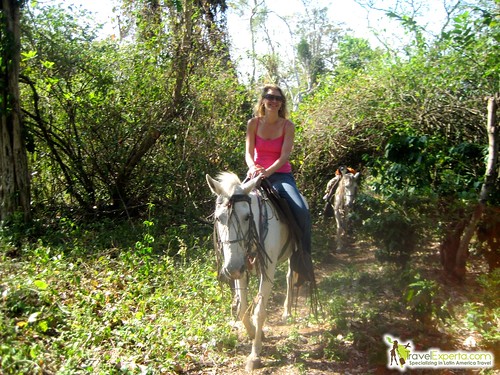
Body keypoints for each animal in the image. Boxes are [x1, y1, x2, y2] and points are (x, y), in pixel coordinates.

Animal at [205, 173, 294, 374]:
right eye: (218, 218)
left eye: (247, 217)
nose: (231, 269)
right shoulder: (242, 270)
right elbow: (242, 308)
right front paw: (254, 333)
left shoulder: (268, 270)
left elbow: (260, 312)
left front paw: (255, 355)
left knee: (290, 277)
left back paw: (287, 312)